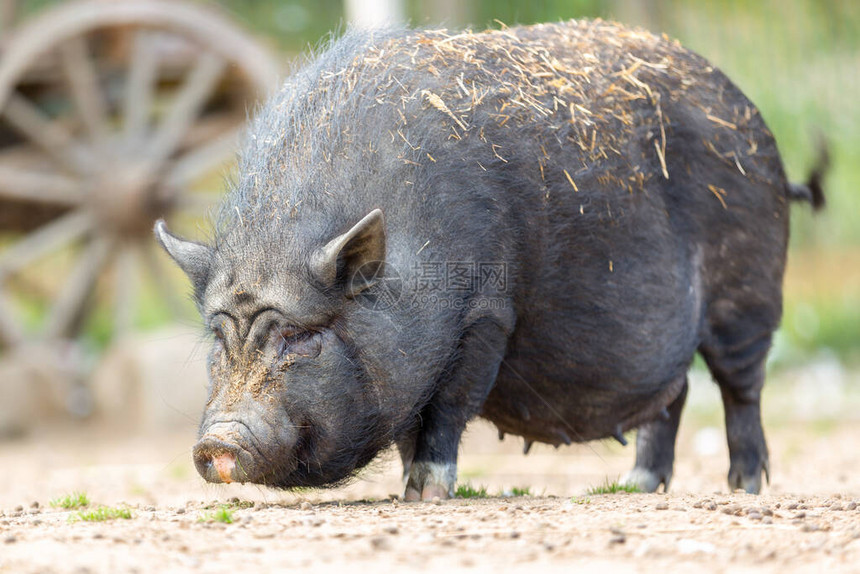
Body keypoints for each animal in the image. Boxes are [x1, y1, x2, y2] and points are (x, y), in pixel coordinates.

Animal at [156, 21, 828, 500]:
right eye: (218, 339)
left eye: (301, 338)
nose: (214, 445)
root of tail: (760, 133)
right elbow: (412, 422)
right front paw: (407, 491)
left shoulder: (486, 316)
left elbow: (449, 410)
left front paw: (427, 494)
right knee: (676, 393)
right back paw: (635, 487)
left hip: (749, 293)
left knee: (741, 388)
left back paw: (744, 487)